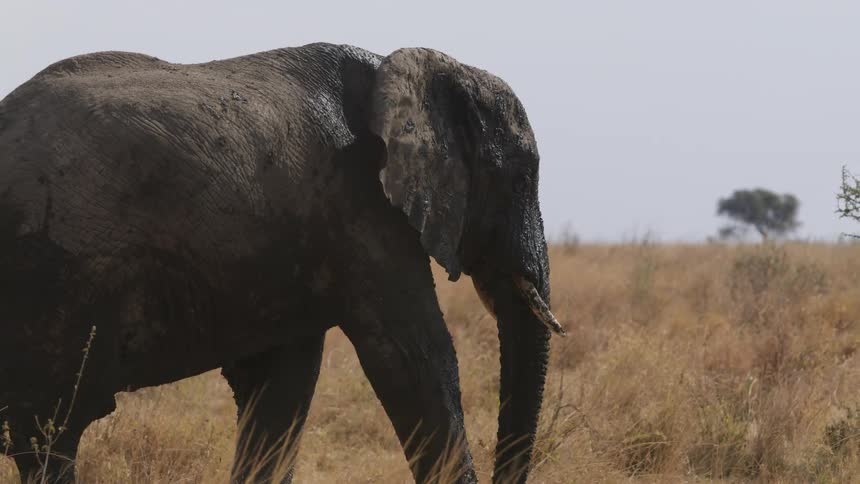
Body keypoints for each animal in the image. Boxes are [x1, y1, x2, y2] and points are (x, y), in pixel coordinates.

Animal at [0, 42, 564, 483]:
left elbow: (283, 385)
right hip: (48, 274)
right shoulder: (362, 208)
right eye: (519, 178)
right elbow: (414, 358)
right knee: (49, 435)